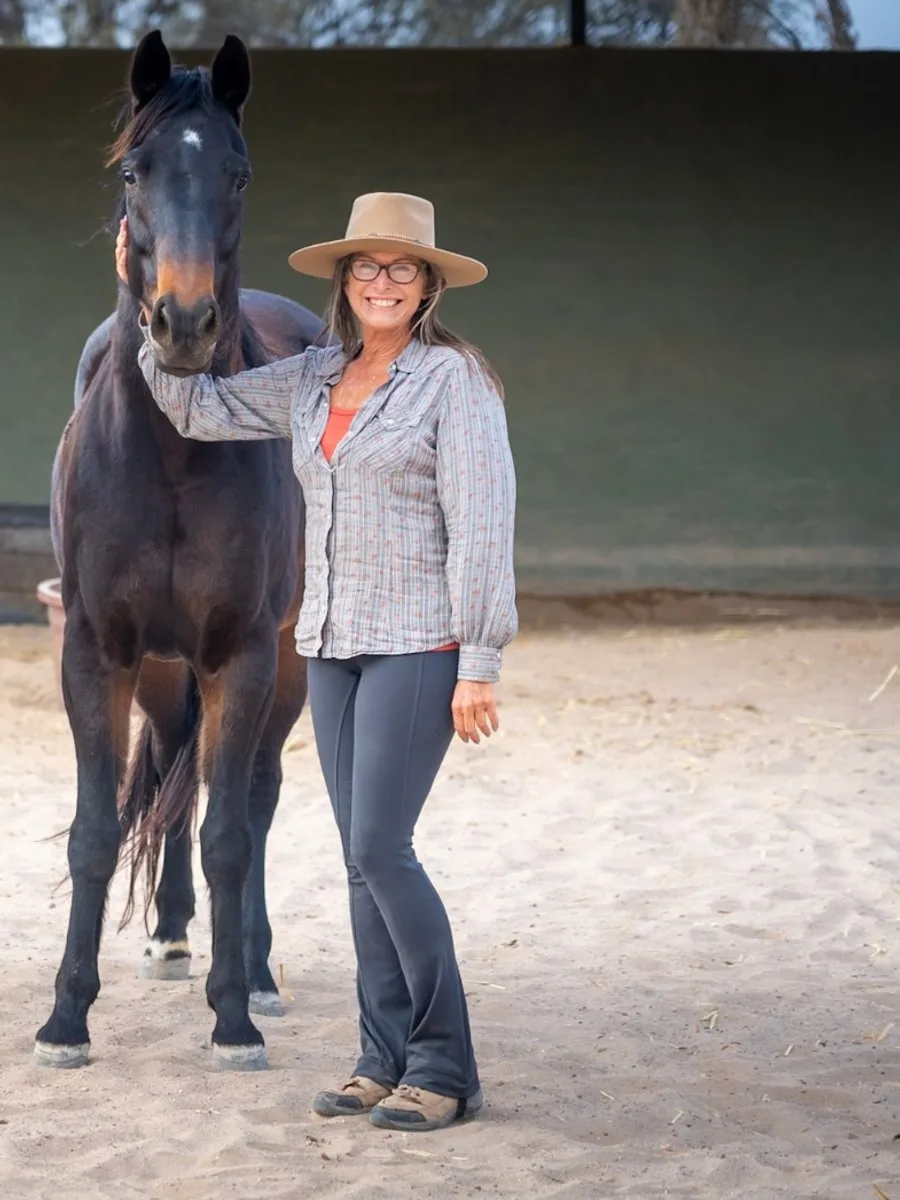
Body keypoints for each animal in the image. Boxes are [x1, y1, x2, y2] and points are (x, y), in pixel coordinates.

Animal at [36, 30, 324, 1071]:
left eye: (237, 173)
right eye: (135, 171)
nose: (187, 324)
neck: (170, 451)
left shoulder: (241, 655)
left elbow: (232, 832)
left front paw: (233, 1017)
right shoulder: (96, 651)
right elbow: (93, 830)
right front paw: (65, 1019)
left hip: (284, 666)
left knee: (253, 799)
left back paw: (260, 969)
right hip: (162, 671)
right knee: (168, 769)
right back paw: (166, 934)